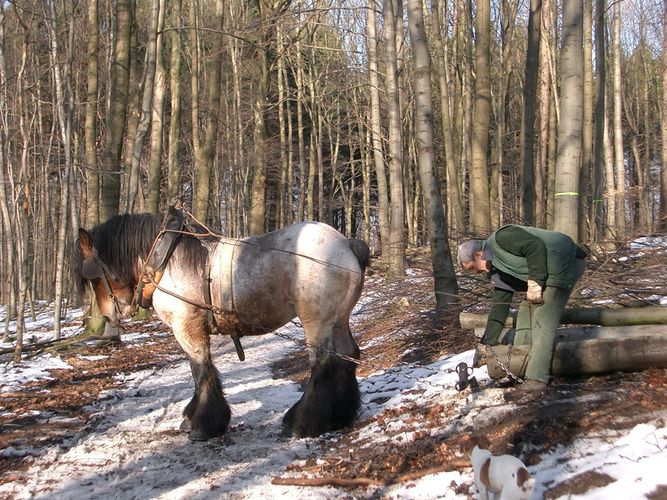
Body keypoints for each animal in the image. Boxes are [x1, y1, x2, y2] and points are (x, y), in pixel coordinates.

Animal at [79, 209, 374, 440]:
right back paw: (341, 415)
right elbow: (198, 371)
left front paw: (203, 424)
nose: (108, 317)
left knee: (322, 366)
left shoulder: (186, 328)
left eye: (94, 277)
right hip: (338, 319)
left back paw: (303, 422)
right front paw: (193, 418)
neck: (167, 262)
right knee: (347, 356)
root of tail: (347, 243)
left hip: (316, 321)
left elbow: (201, 370)